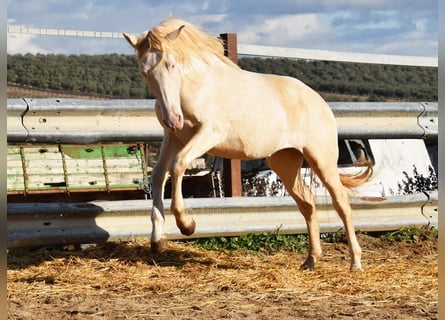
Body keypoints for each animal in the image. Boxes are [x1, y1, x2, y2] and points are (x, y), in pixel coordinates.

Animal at [122, 18, 372, 270]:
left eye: (172, 65)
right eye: (144, 71)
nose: (173, 119)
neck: (196, 86)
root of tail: (320, 101)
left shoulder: (209, 134)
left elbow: (177, 165)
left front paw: (187, 225)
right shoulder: (173, 138)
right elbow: (158, 175)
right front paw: (158, 241)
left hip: (321, 159)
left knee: (341, 202)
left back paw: (355, 263)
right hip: (284, 162)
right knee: (307, 203)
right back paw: (311, 260)